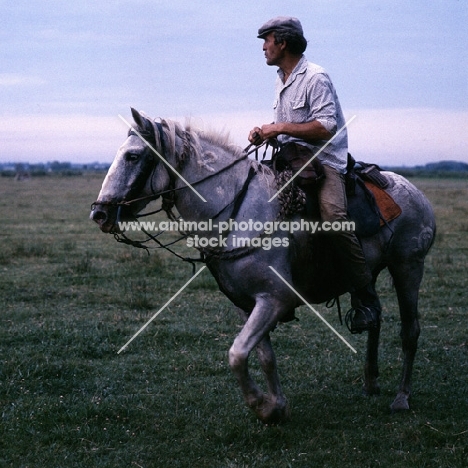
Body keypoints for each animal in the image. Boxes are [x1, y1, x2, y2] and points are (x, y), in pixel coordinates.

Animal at [90, 109, 436, 424]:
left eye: (133, 156)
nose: (99, 213)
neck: (236, 210)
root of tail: (414, 191)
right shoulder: (246, 304)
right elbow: (263, 356)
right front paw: (277, 406)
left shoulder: (275, 299)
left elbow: (237, 353)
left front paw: (262, 406)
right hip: (369, 273)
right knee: (374, 317)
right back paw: (370, 381)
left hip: (408, 268)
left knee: (410, 331)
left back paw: (401, 398)